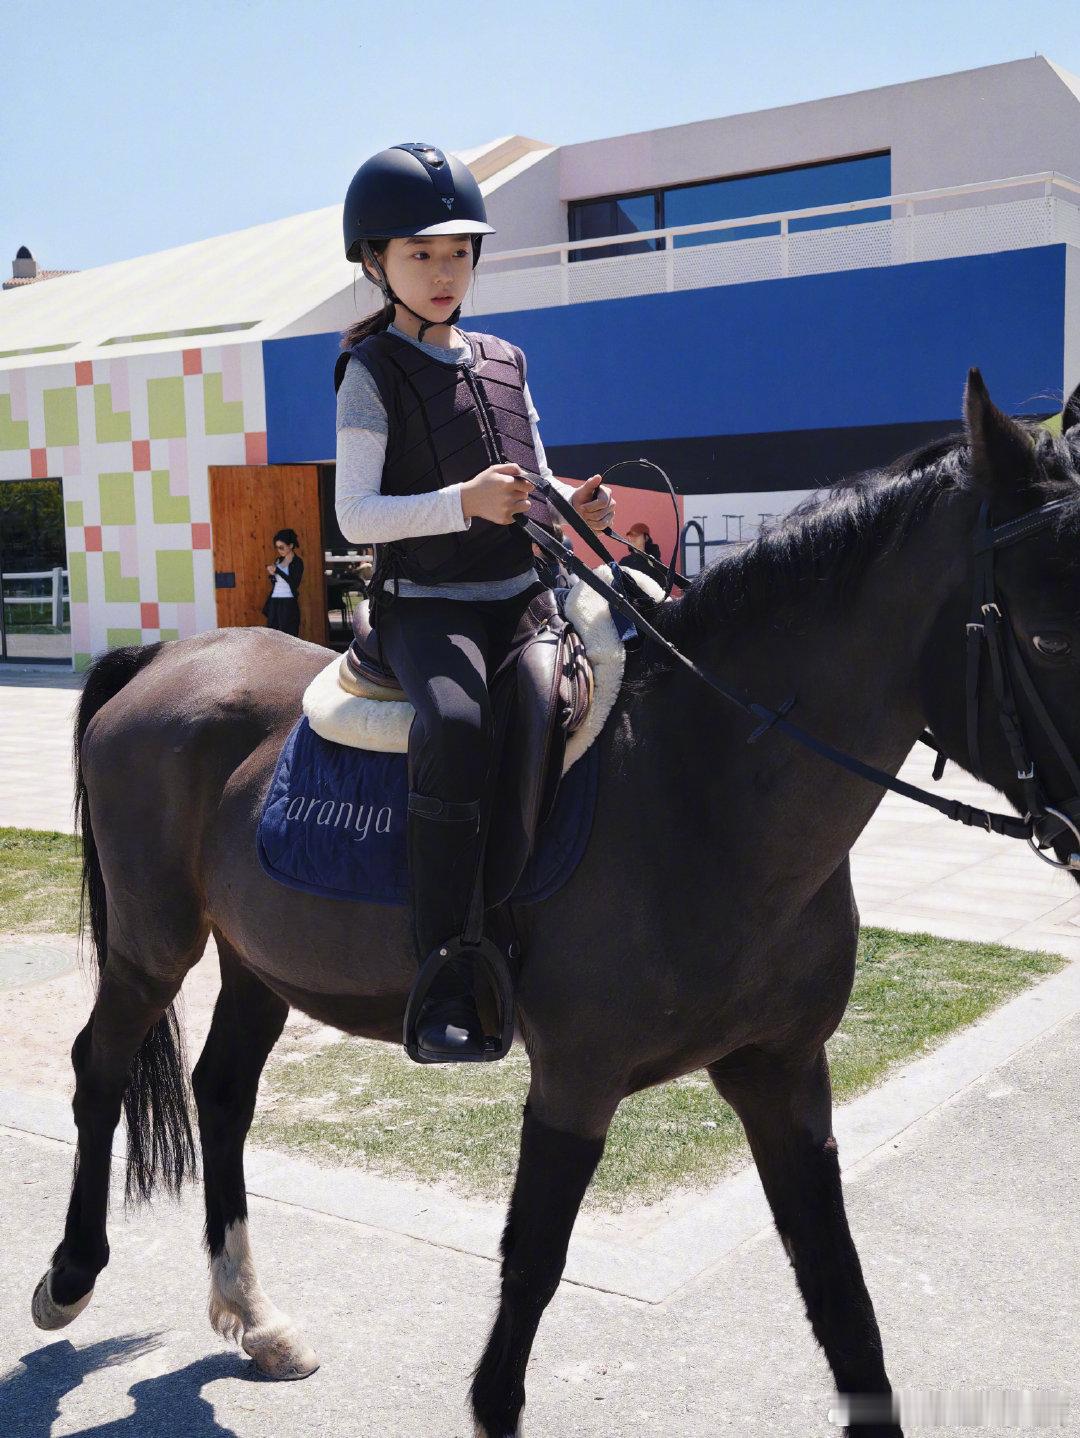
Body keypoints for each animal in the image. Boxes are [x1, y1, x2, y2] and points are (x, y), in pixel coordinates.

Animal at [30, 371, 1080, 1437]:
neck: (698, 780)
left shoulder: (783, 1070)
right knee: (99, 1067)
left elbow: (842, 1294)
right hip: (155, 947)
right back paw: (70, 1277)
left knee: (222, 1093)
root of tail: (163, 659)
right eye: (1049, 634)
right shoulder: (578, 1076)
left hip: (261, 960)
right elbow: (531, 1267)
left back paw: (254, 1314)